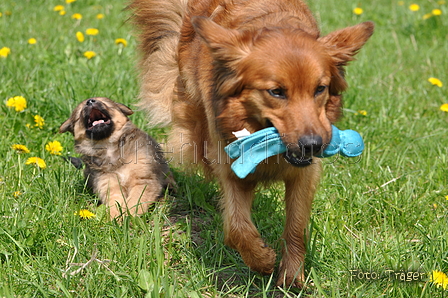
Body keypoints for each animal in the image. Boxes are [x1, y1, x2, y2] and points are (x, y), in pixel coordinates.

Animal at [130, 0, 374, 288]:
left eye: (320, 89)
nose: (312, 145)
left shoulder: (305, 174)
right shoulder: (231, 167)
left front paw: (292, 277)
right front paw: (261, 259)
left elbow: (296, 226)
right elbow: (236, 227)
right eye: (276, 92)